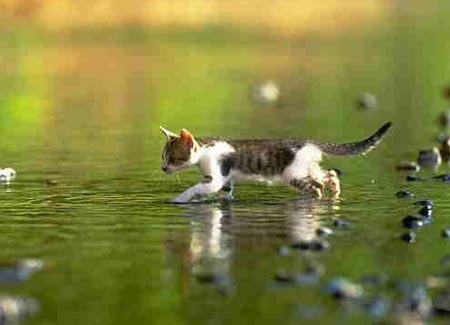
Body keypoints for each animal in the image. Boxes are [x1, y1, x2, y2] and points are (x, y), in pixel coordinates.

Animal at [160, 122, 392, 202]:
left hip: (293, 174)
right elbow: (225, 193)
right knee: (329, 174)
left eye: (172, 158)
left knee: (316, 187)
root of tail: (310, 143)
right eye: (163, 157)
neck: (204, 149)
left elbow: (196, 188)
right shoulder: (225, 180)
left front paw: (179, 199)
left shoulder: (216, 176)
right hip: (308, 167)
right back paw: (334, 189)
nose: (163, 168)